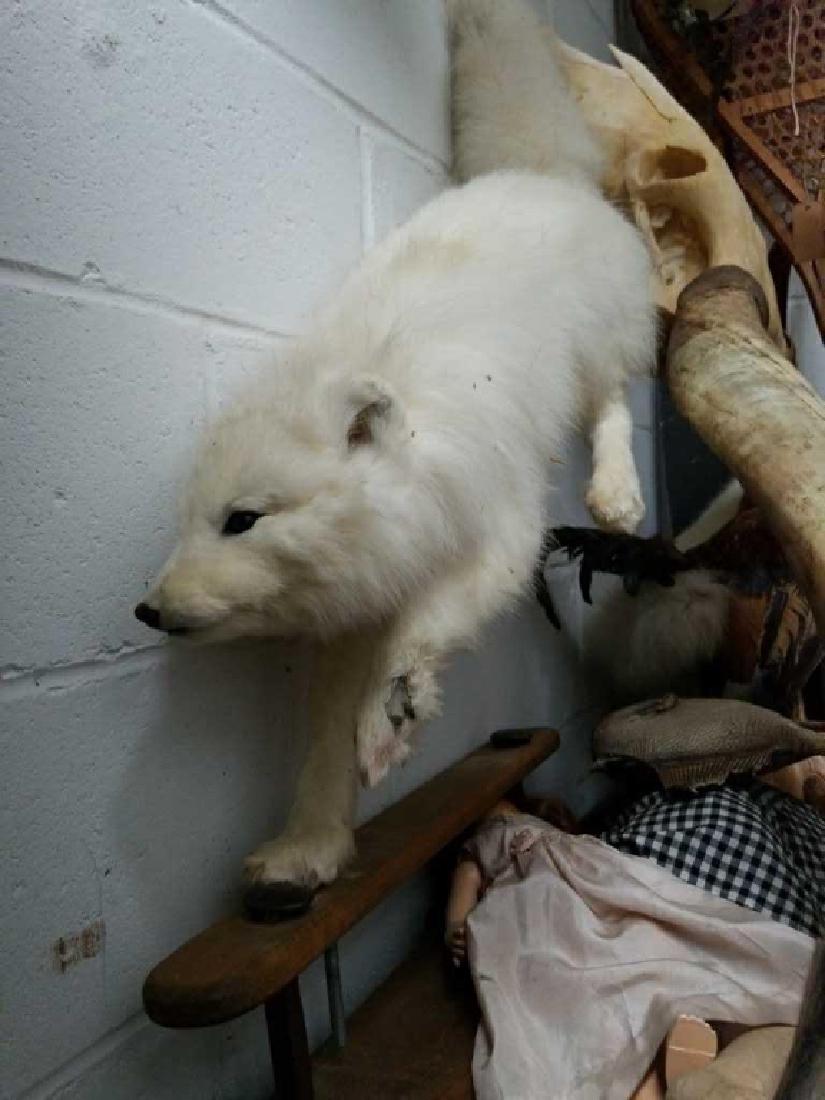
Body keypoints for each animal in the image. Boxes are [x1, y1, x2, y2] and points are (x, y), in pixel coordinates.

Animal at [134, 0, 655, 889]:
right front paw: (307, 848)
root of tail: (536, 172)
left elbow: (425, 627)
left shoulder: (497, 536)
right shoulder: (353, 607)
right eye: (189, 522)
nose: (148, 611)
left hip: (598, 349)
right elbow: (320, 746)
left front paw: (394, 712)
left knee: (613, 406)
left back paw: (617, 494)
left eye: (242, 521)